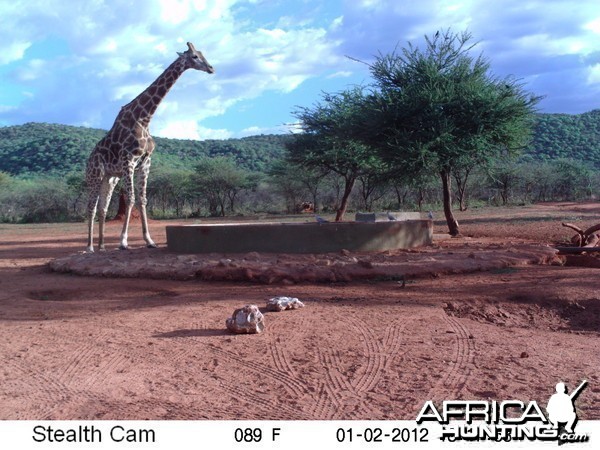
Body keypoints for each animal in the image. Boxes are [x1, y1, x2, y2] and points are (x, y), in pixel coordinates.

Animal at [85, 42, 213, 253]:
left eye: (203, 54)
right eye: (194, 56)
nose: (211, 68)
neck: (144, 118)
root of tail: (88, 160)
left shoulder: (145, 161)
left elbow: (143, 200)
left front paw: (149, 240)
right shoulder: (128, 160)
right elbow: (130, 198)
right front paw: (123, 242)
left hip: (109, 178)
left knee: (103, 208)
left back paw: (102, 246)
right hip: (94, 175)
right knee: (92, 207)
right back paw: (89, 247)